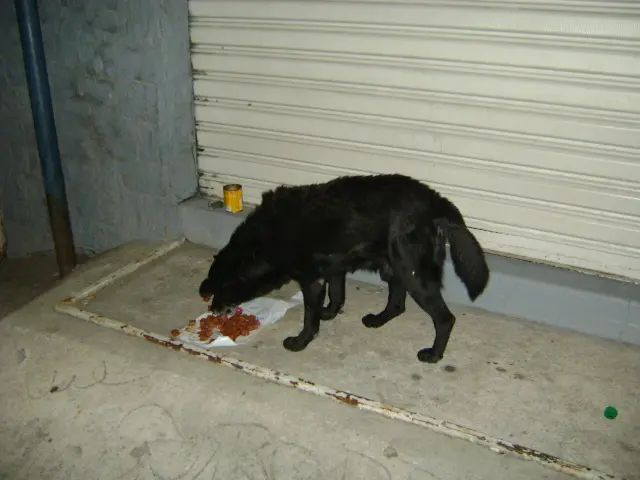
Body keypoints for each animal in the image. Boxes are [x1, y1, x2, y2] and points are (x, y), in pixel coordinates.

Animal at [199, 174, 490, 363]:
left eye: (219, 289)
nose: (212, 309)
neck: (263, 243)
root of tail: (436, 201)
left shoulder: (311, 280)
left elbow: (310, 316)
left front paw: (301, 341)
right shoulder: (334, 268)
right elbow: (337, 296)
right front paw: (329, 313)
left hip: (413, 274)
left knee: (445, 319)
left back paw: (434, 354)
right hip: (394, 265)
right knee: (397, 304)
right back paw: (379, 319)